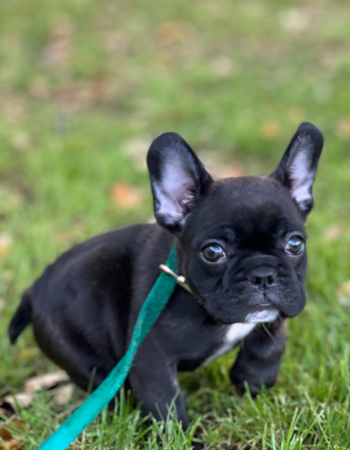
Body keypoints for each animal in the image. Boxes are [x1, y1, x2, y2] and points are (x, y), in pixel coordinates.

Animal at [10, 121, 322, 430]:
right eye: (213, 252)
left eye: (295, 244)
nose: (263, 274)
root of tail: (32, 291)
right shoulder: (150, 360)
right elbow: (166, 405)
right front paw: (184, 437)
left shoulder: (279, 308)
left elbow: (270, 343)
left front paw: (252, 380)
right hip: (80, 354)